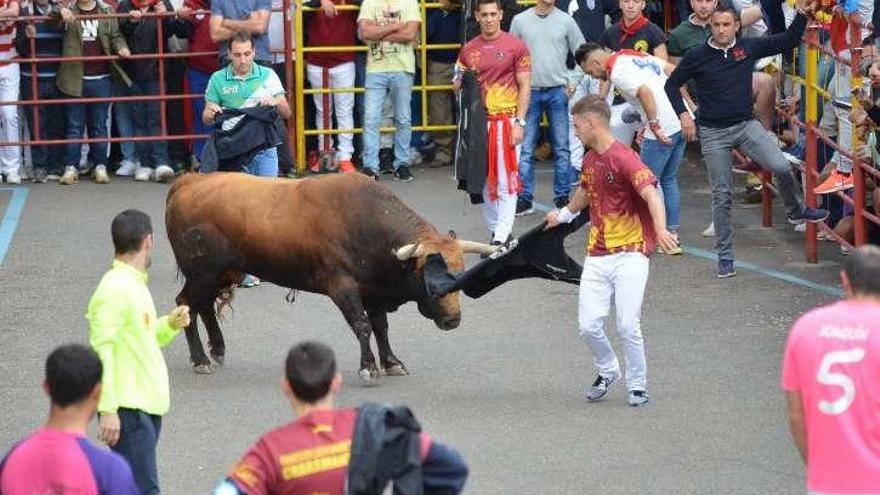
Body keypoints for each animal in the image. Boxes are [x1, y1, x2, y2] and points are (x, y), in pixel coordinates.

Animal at [163, 173, 496, 384]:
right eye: (428, 275)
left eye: (459, 271)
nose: (452, 320)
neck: (365, 222)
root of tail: (190, 180)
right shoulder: (342, 287)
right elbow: (362, 325)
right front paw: (368, 366)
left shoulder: (373, 291)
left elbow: (381, 327)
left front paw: (391, 361)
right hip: (203, 272)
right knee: (185, 303)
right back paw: (200, 359)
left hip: (221, 273)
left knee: (204, 306)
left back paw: (216, 350)